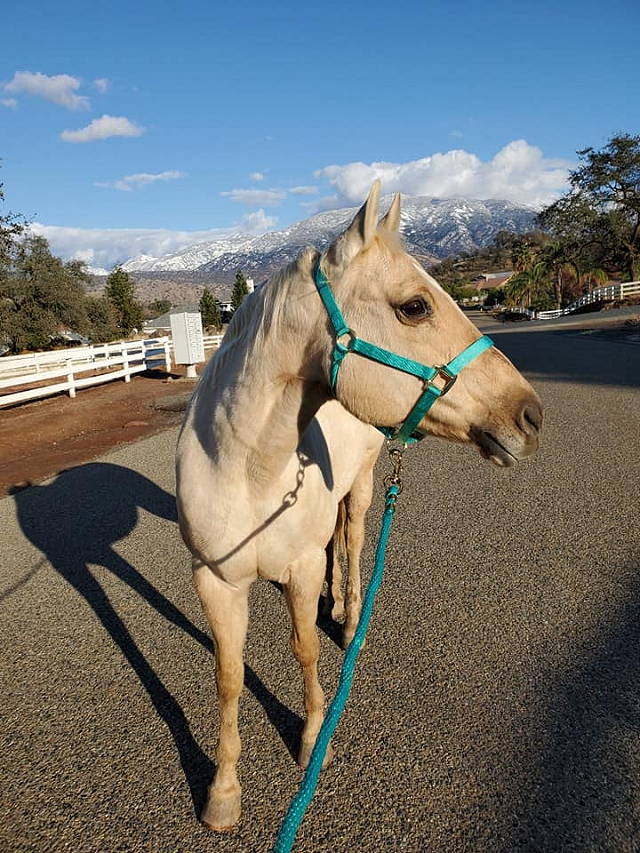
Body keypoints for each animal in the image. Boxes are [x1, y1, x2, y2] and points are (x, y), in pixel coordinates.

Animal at [175, 181, 542, 830]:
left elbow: (303, 647)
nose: (530, 415)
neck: (246, 471)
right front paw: (222, 792)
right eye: (415, 307)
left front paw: (311, 738)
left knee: (351, 539)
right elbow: (228, 676)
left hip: (366, 484)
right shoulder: (215, 580)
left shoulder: (296, 569)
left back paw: (349, 620)